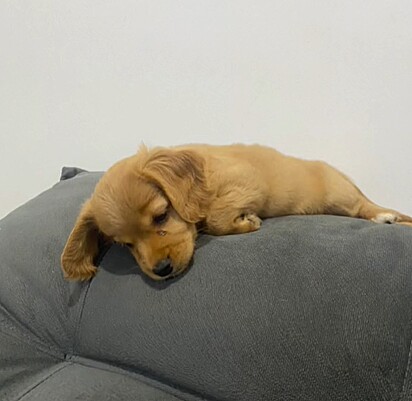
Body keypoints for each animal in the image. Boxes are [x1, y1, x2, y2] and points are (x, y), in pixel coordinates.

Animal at [62, 145, 412, 282]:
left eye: (161, 216)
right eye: (125, 244)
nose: (161, 270)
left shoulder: (246, 181)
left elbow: (217, 218)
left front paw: (247, 222)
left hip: (340, 195)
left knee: (365, 206)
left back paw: (387, 217)